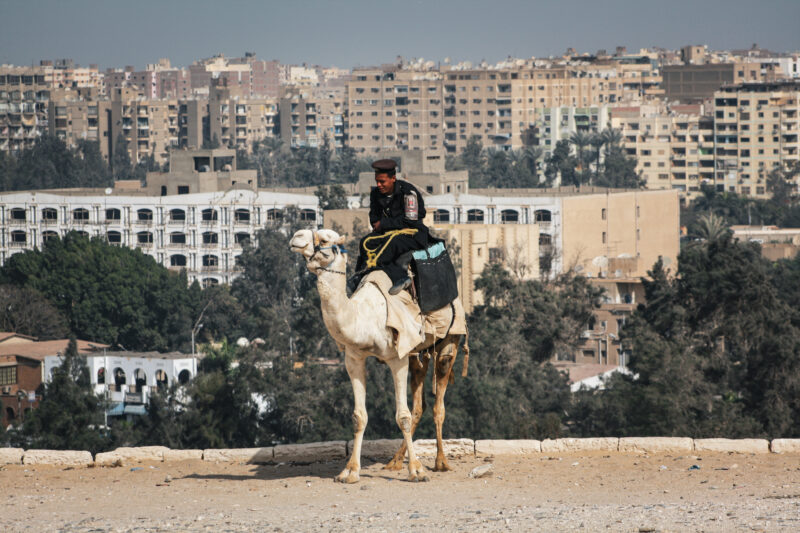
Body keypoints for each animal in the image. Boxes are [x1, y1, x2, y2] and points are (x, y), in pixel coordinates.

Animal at [290, 229, 468, 482]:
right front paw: (349, 471)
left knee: (437, 406)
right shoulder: (354, 358)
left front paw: (416, 471)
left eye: (324, 240)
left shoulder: (397, 358)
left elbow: (402, 415)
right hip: (417, 354)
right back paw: (395, 461)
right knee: (419, 405)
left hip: (449, 342)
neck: (363, 316)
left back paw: (440, 462)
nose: (296, 236)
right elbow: (359, 416)